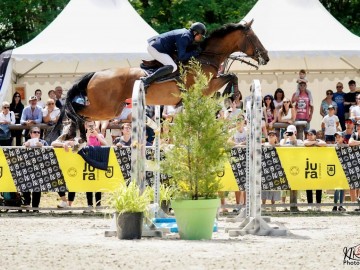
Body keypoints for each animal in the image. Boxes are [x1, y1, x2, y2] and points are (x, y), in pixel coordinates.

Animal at [49, 20, 268, 143]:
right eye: (253, 37)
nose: (266, 57)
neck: (205, 57)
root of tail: (95, 74)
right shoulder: (205, 87)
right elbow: (231, 76)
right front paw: (232, 93)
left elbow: (230, 76)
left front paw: (229, 95)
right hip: (106, 108)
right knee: (76, 111)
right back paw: (75, 137)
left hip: (112, 110)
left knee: (79, 112)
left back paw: (73, 136)